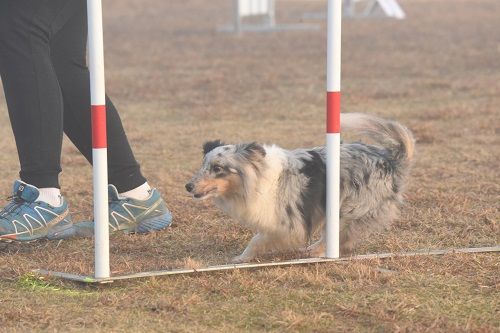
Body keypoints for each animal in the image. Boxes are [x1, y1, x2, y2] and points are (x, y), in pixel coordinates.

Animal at [185, 113, 414, 262]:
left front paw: (241, 258)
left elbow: (257, 239)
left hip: (350, 208)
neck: (257, 177)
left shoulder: (290, 222)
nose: (188, 186)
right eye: (203, 165)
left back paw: (315, 251)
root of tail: (390, 159)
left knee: (340, 236)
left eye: (217, 168)